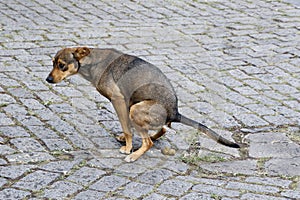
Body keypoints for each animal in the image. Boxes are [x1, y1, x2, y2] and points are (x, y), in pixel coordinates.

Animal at [45, 47, 240, 162]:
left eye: (62, 65)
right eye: (53, 63)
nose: (48, 79)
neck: (92, 62)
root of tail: (175, 112)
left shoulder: (119, 100)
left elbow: (126, 128)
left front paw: (128, 148)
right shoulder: (124, 103)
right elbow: (129, 128)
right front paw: (127, 140)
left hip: (135, 108)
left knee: (149, 141)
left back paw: (135, 154)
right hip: (138, 107)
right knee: (162, 129)